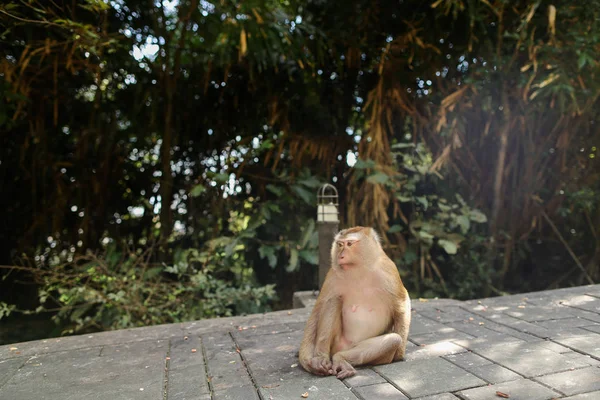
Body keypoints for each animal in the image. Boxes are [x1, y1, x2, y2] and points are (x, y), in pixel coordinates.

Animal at [298, 227, 410, 380]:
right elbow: (318, 308)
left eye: (350, 244)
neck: (359, 271)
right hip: (336, 343)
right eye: (340, 245)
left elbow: (401, 304)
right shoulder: (332, 275)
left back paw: (341, 359)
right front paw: (308, 360)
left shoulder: (388, 271)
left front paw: (399, 354)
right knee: (333, 300)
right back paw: (322, 357)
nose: (341, 256)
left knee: (393, 339)